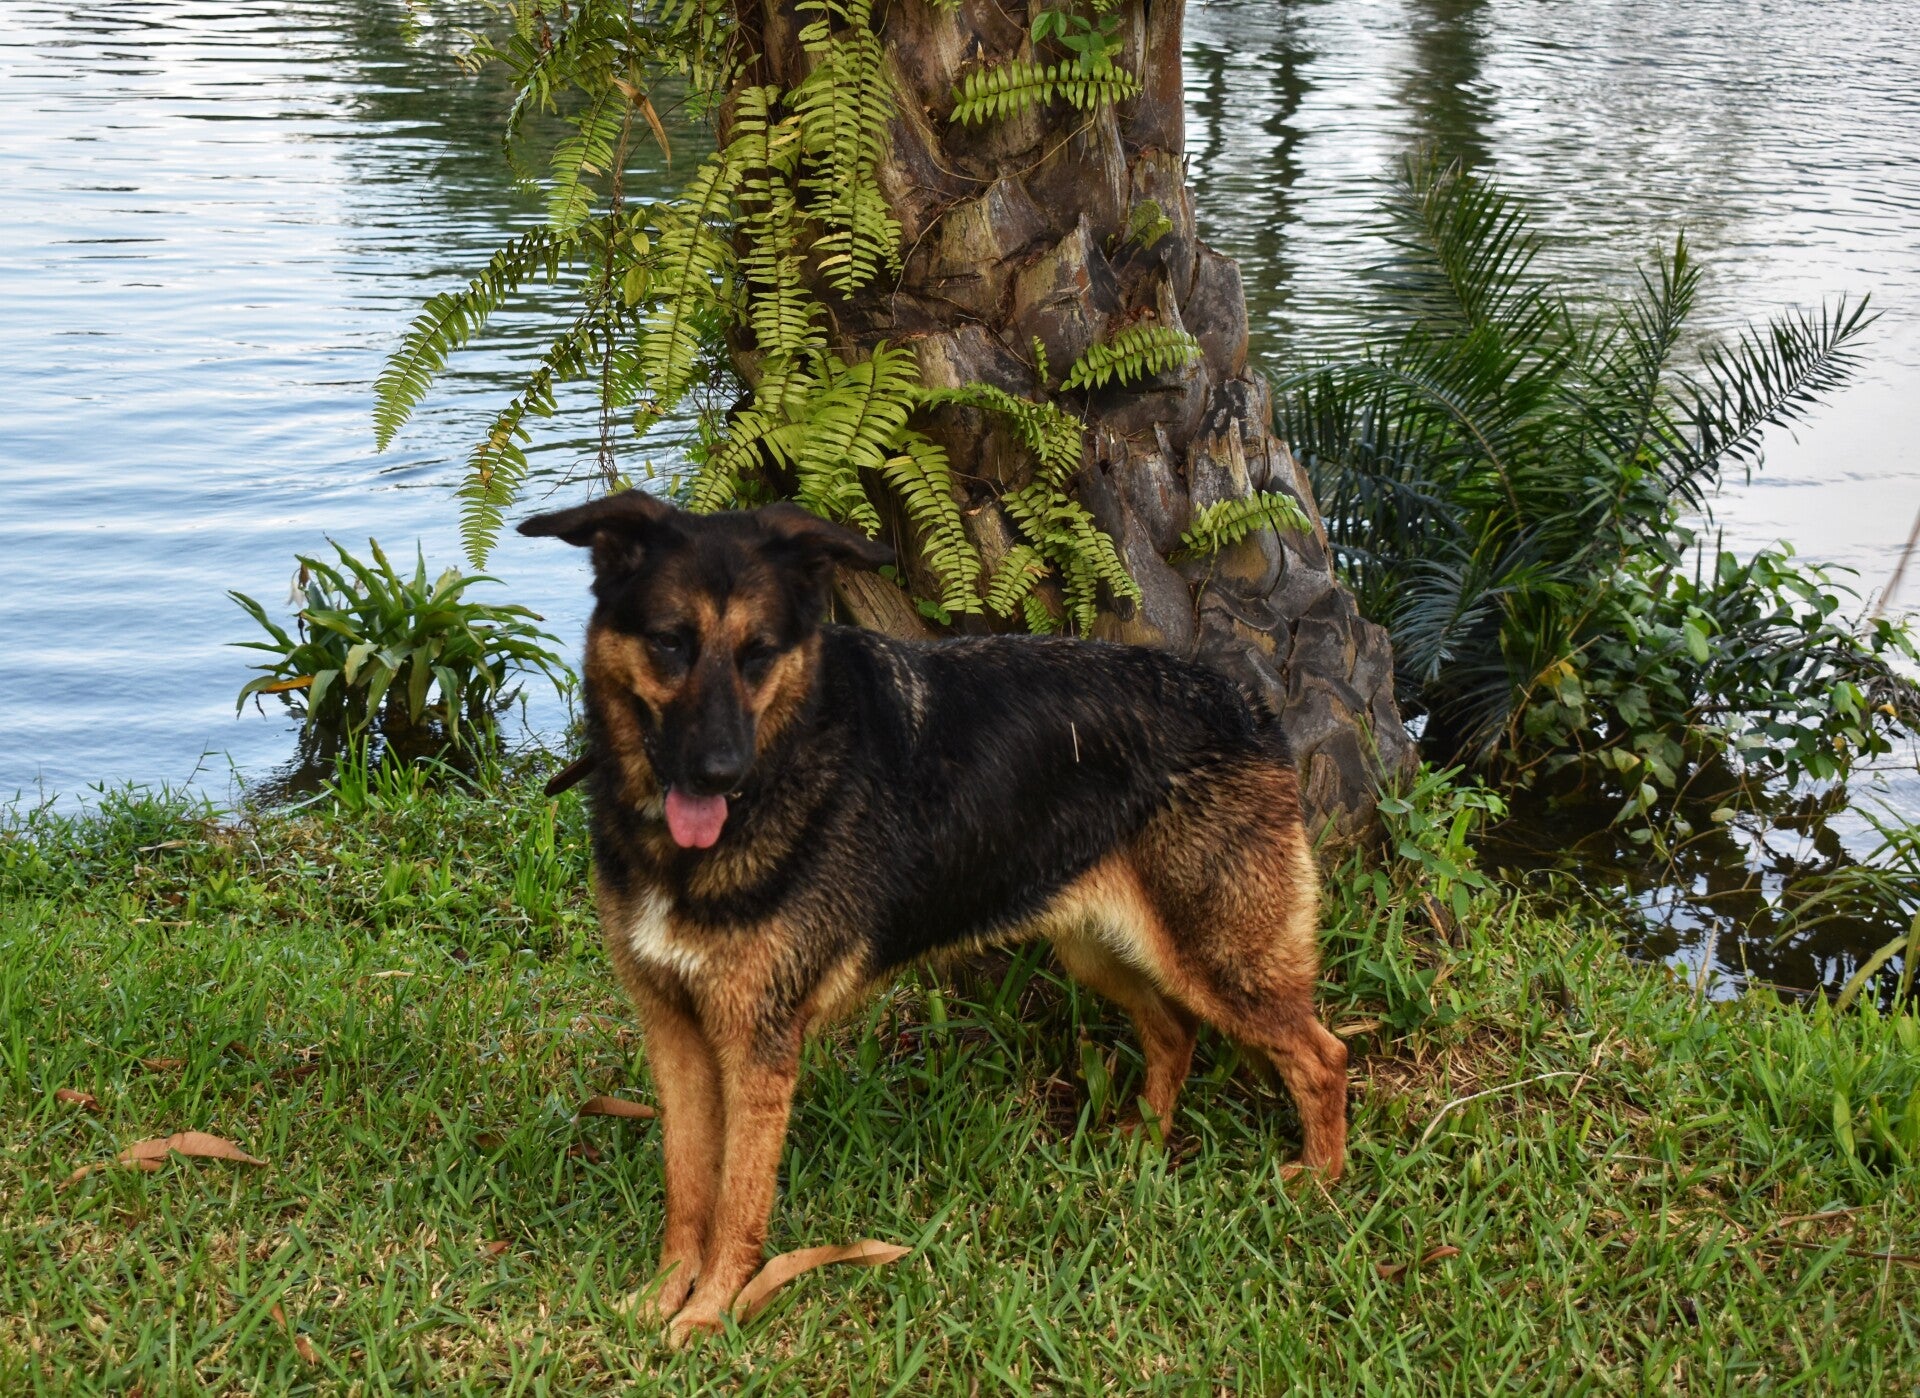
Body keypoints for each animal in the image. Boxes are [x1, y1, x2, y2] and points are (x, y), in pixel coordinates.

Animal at [520, 490, 1348, 1342]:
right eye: (669, 643)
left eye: (759, 653)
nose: (721, 773)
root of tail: (1245, 702)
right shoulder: (675, 1034)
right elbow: (689, 1186)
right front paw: (663, 1295)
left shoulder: (757, 1048)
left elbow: (737, 1203)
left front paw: (711, 1313)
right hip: (1101, 948)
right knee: (1174, 1031)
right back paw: (1144, 1137)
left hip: (1219, 959)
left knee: (1323, 1056)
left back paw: (1318, 1180)